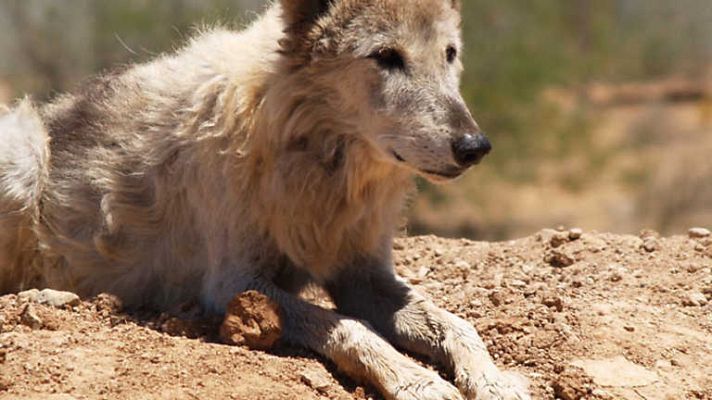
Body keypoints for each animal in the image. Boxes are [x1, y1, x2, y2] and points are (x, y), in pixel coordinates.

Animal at [0, 0, 532, 400]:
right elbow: (350, 327)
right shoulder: (234, 284)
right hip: (23, 150)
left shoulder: (362, 274)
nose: (475, 146)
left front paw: (494, 381)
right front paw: (415, 380)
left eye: (449, 53)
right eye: (386, 55)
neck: (318, 160)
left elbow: (458, 324)